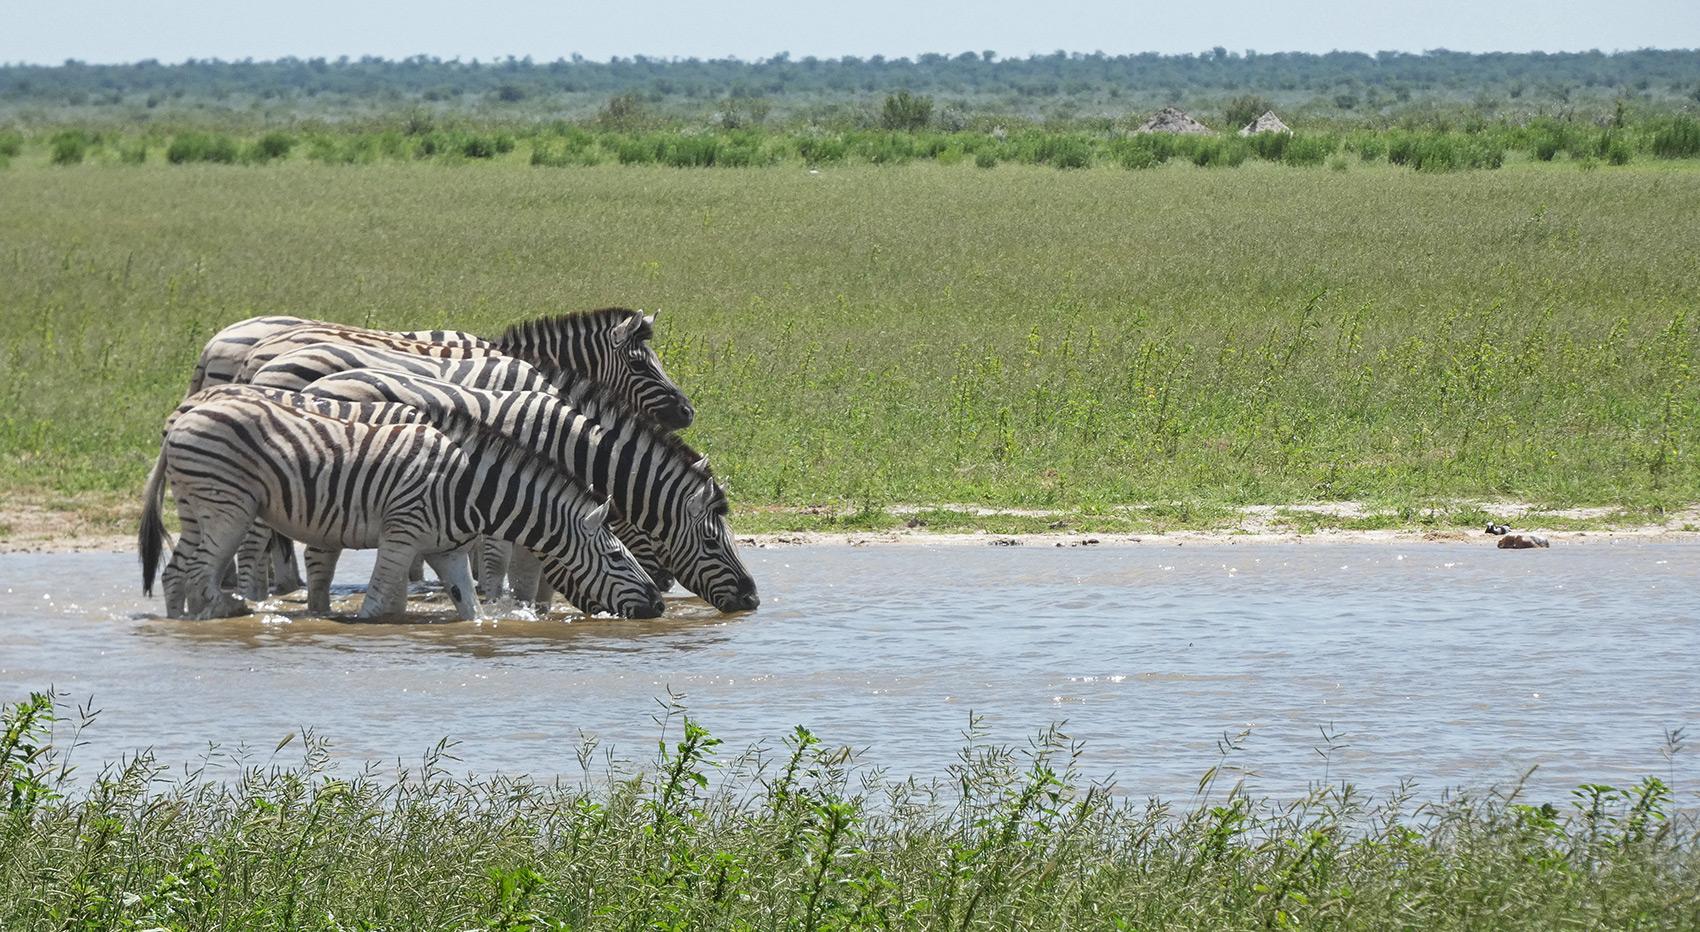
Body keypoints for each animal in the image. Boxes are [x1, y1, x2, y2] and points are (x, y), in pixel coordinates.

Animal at [139, 387, 665, 621]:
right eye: (617, 557)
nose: (659, 604)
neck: (470, 488)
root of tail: (184, 417)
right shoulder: (401, 535)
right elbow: (377, 608)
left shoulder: (446, 549)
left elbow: (472, 611)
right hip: (228, 508)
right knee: (200, 574)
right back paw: (223, 614)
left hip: (199, 507)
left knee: (175, 574)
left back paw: (181, 623)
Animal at [297, 369, 760, 613]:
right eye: (713, 543)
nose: (752, 599)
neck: (575, 448)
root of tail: (318, 384)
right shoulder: (511, 506)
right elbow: (511, 572)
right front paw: (512, 613)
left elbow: (543, 576)